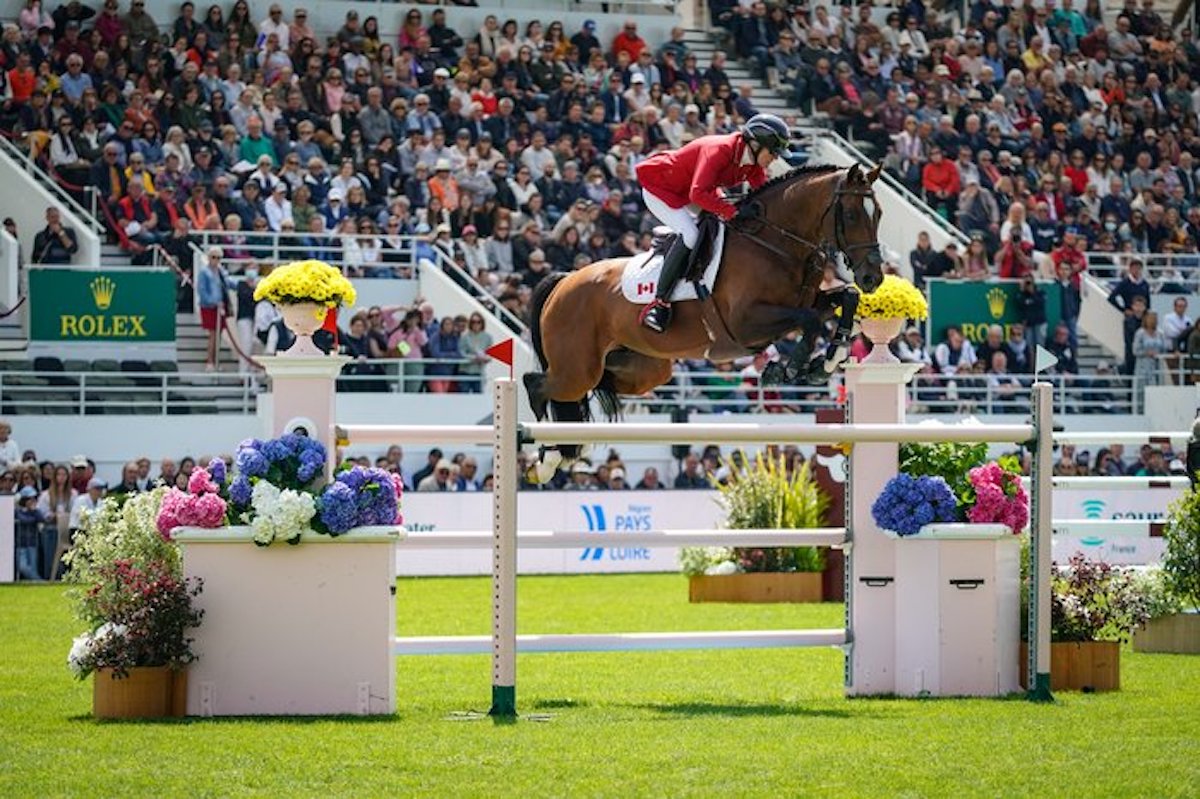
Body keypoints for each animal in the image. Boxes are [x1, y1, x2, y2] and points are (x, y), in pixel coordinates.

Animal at [523, 162, 886, 473]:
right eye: (851, 214)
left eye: (879, 214)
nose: (873, 278)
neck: (775, 244)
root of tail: (564, 280)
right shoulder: (746, 323)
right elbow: (809, 320)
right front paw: (794, 368)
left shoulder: (809, 300)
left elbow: (845, 298)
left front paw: (829, 357)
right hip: (576, 367)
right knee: (537, 384)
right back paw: (546, 458)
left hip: (641, 369)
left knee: (594, 384)